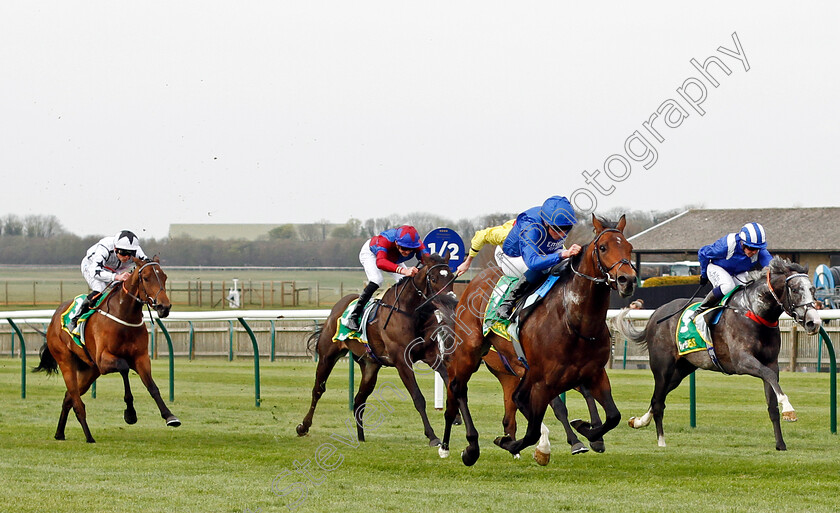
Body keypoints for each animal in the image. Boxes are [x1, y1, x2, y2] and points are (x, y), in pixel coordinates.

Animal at [34, 258, 177, 442]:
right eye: (146, 278)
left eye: (164, 277)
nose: (164, 307)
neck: (124, 315)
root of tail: (53, 319)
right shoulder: (103, 360)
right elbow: (124, 367)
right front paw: (130, 414)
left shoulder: (141, 358)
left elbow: (152, 387)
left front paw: (169, 416)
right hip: (66, 362)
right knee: (76, 401)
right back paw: (89, 437)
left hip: (89, 371)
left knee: (68, 398)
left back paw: (60, 433)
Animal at [294, 251, 452, 444]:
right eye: (434, 278)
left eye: (452, 276)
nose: (451, 300)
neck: (412, 312)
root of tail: (335, 309)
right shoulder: (402, 361)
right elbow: (418, 397)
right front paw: (432, 436)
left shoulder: (431, 355)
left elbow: (447, 379)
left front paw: (457, 417)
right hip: (327, 356)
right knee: (318, 389)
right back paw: (303, 426)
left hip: (370, 366)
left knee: (359, 400)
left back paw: (361, 437)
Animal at [442, 215, 632, 464]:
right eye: (603, 247)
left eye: (629, 248)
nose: (627, 279)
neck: (576, 321)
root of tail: (476, 280)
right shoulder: (544, 380)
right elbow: (536, 427)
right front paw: (516, 444)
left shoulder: (593, 373)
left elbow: (613, 416)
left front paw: (588, 430)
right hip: (470, 351)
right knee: (458, 387)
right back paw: (468, 447)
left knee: (509, 399)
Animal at [612, 256, 820, 448]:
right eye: (795, 289)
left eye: (812, 290)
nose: (814, 322)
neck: (754, 311)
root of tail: (655, 314)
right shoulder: (741, 361)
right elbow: (768, 376)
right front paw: (789, 409)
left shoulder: (771, 362)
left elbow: (772, 400)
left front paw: (780, 443)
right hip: (663, 367)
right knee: (658, 401)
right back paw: (661, 441)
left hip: (683, 368)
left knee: (658, 397)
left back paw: (638, 421)